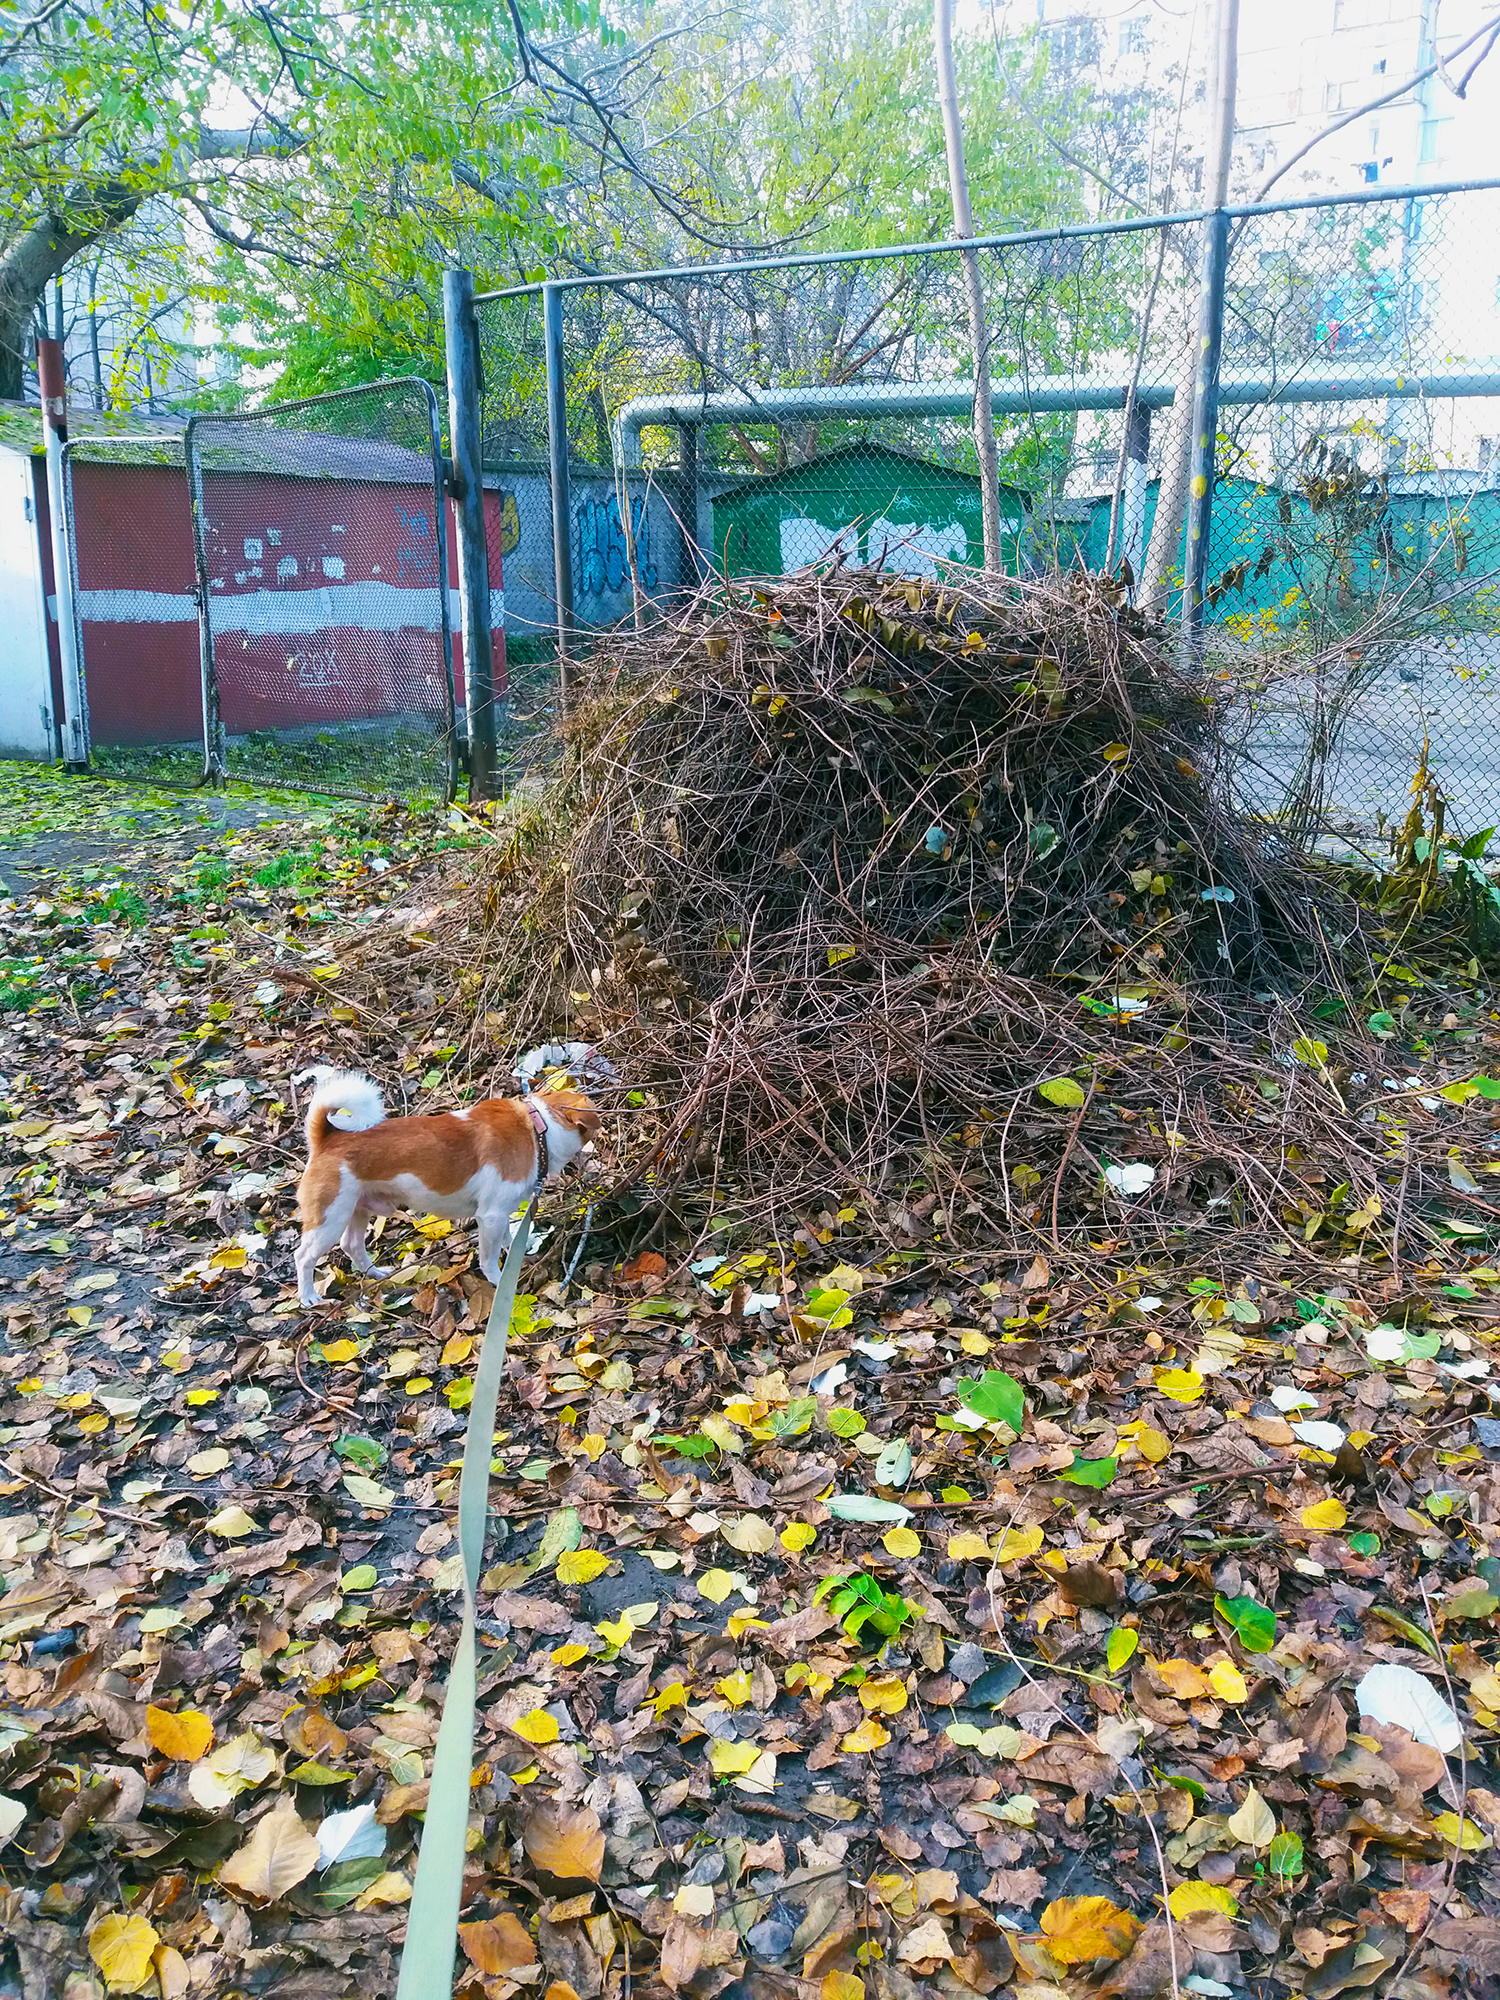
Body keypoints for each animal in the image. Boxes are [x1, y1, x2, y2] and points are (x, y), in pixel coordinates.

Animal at [294, 1072, 600, 1304]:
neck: (538, 1129)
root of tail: (328, 1138)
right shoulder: (491, 1216)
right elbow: (489, 1259)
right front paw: (500, 1281)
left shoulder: (501, 1214)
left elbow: (507, 1239)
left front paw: (517, 1252)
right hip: (330, 1218)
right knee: (304, 1257)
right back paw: (308, 1296)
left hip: (357, 1208)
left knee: (352, 1244)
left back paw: (376, 1273)